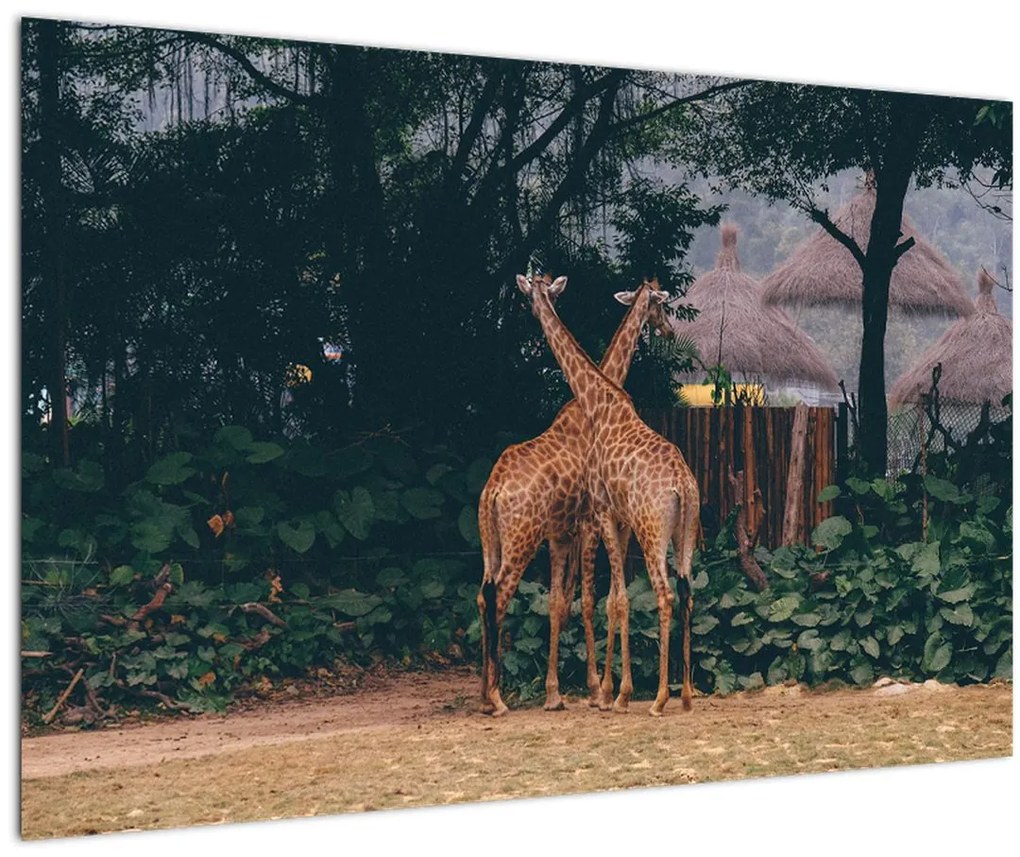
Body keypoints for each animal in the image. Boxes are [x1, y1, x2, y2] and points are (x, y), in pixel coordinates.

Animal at [477, 274, 673, 716]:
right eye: (662, 305)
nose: (670, 331)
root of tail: (492, 490)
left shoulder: (561, 533)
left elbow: (560, 604)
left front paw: (559, 693)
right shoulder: (586, 523)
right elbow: (588, 602)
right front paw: (599, 690)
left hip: (492, 543)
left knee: (482, 596)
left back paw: (483, 693)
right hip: (521, 539)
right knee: (499, 597)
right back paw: (496, 698)